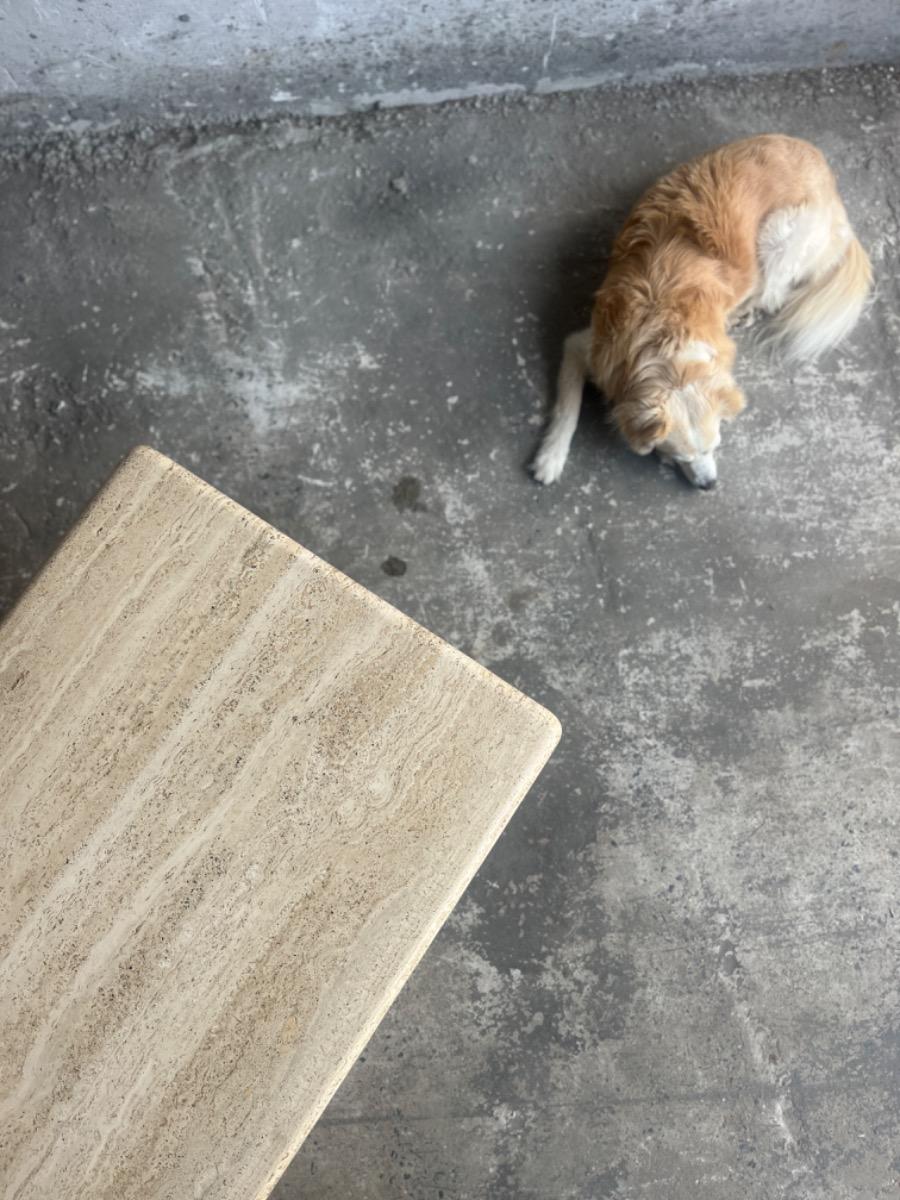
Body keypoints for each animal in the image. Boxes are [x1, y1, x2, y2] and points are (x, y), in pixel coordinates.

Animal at [535, 131, 873, 487]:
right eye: (679, 457)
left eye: (715, 447)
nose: (710, 486)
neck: (666, 342)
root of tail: (832, 188)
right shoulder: (587, 346)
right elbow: (567, 408)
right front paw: (550, 458)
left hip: (779, 237)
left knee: (773, 291)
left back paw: (744, 311)